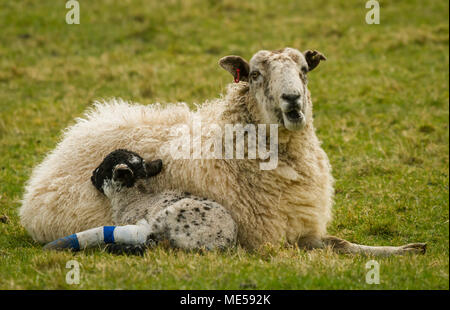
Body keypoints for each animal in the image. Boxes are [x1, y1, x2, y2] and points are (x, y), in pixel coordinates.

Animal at [44, 149, 237, 253]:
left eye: (103, 169)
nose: (91, 176)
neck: (136, 198)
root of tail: (221, 241)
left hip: (169, 219)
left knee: (150, 242)